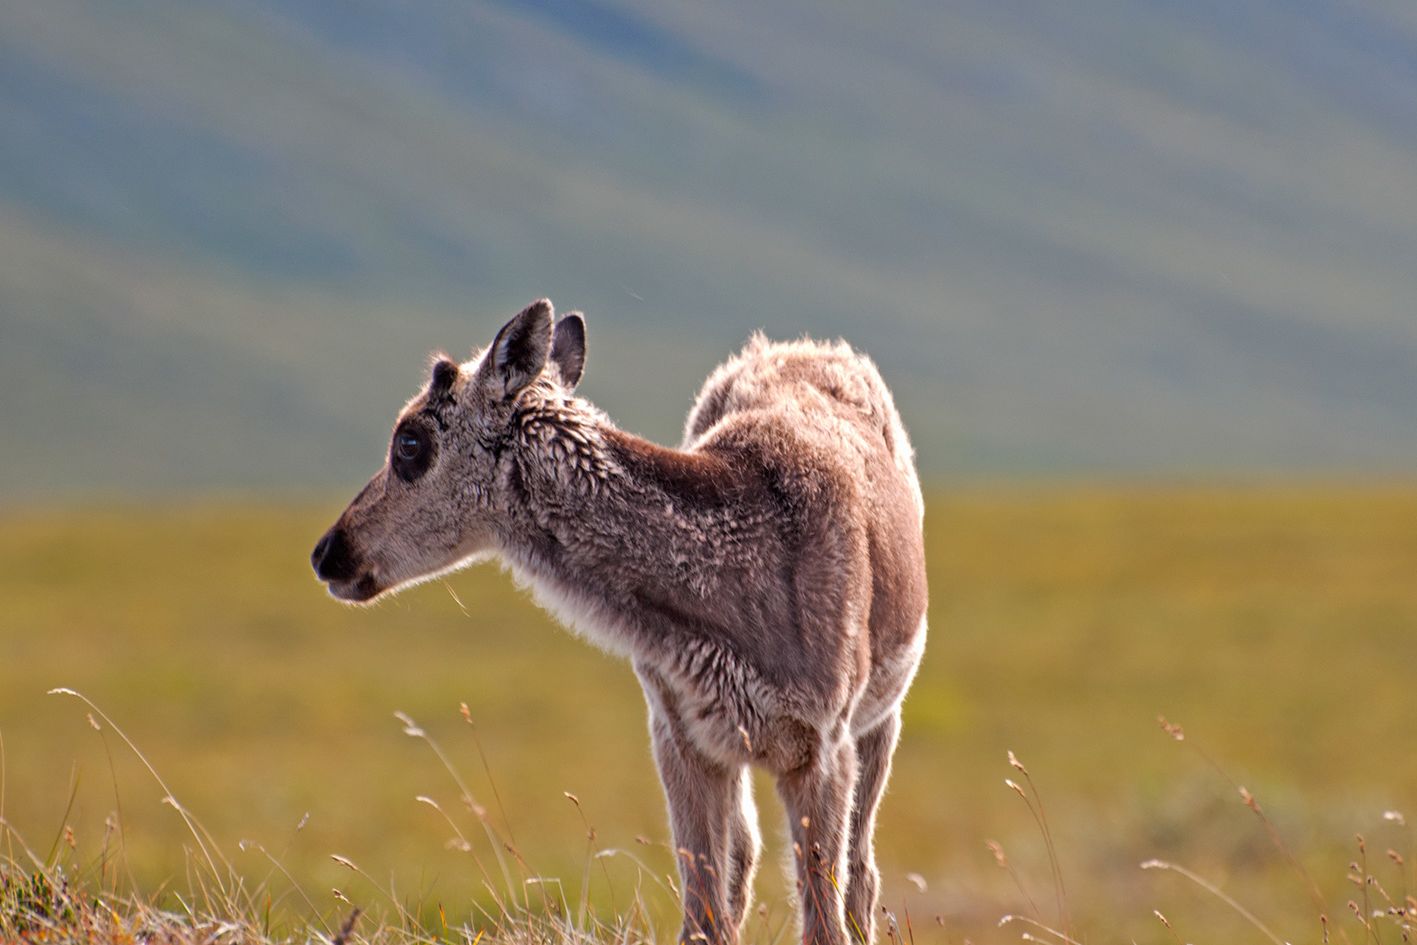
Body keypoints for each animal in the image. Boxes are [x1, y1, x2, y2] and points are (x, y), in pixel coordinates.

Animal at [313, 298, 929, 940]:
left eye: (409, 441)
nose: (328, 551)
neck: (729, 621)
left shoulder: (824, 739)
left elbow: (823, 918)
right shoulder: (678, 731)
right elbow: (703, 913)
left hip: (881, 719)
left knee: (861, 873)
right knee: (747, 856)